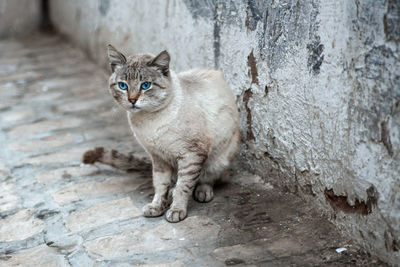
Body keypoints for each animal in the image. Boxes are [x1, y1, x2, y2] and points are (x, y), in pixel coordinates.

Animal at [83, 45, 239, 224]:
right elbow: (160, 186)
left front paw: (176, 211)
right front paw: (157, 207)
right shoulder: (158, 157)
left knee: (207, 179)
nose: (132, 100)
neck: (149, 122)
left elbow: (183, 186)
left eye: (145, 85)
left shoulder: (191, 154)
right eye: (123, 86)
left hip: (219, 158)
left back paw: (202, 192)